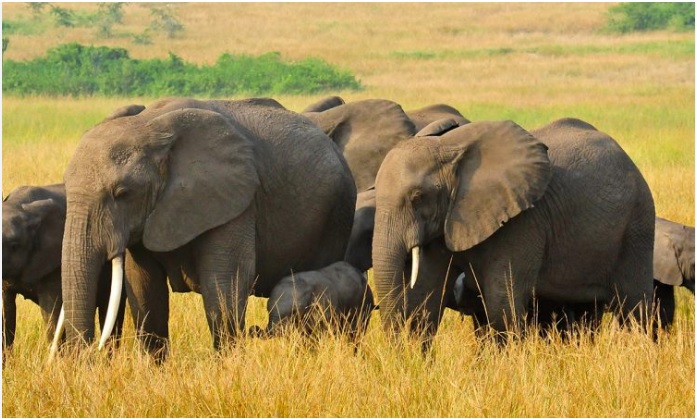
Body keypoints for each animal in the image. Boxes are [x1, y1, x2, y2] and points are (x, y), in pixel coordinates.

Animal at [54, 97, 356, 361]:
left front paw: (228, 368)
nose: (85, 359)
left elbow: (223, 284)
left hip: (336, 214)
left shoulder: (235, 199)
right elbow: (143, 286)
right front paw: (153, 370)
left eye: (122, 193)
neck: (150, 125)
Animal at [371, 117, 655, 347]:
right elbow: (426, 295)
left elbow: (501, 302)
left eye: (418, 197)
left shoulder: (523, 219)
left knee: (635, 307)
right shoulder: (446, 220)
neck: (449, 147)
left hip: (637, 224)